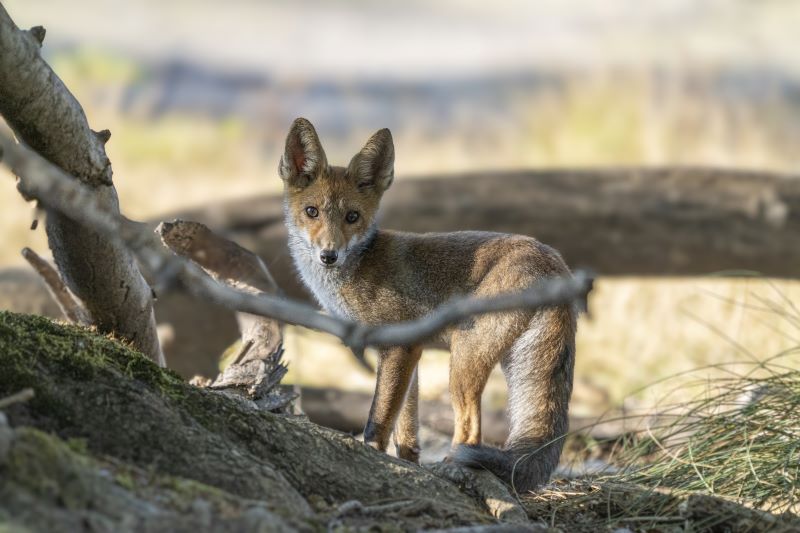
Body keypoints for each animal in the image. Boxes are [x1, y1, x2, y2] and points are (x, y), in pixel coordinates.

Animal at [280, 117, 576, 490]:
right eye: (312, 212)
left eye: (352, 217)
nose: (328, 256)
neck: (358, 268)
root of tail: (556, 263)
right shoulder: (411, 352)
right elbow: (406, 426)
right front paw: (409, 463)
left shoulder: (398, 346)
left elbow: (378, 420)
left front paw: (375, 458)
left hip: (464, 358)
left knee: (470, 428)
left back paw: (454, 468)